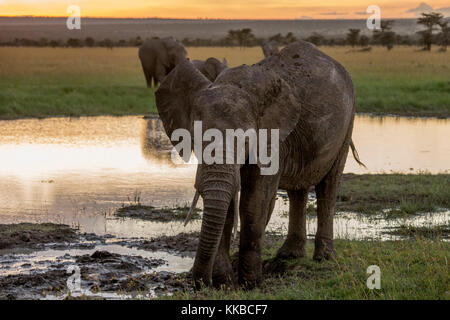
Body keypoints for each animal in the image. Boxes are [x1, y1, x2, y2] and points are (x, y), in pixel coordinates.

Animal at [155, 40, 358, 288]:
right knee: (298, 191)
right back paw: (289, 255)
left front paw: (250, 284)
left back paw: (324, 258)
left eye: (246, 141)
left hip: (348, 122)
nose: (200, 282)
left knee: (329, 185)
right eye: (195, 138)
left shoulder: (274, 138)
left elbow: (254, 200)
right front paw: (224, 281)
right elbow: (228, 202)